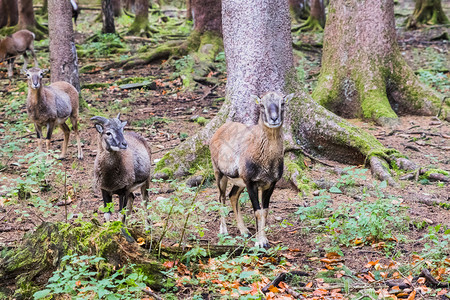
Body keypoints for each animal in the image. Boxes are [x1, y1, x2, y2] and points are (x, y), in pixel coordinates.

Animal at [211, 92, 296, 248]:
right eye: (262, 104)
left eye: (282, 103)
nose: (274, 118)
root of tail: (220, 129)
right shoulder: (251, 182)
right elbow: (257, 212)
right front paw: (259, 243)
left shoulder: (270, 184)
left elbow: (265, 211)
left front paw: (265, 241)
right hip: (219, 173)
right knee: (221, 197)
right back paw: (223, 231)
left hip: (239, 182)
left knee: (233, 196)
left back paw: (245, 231)